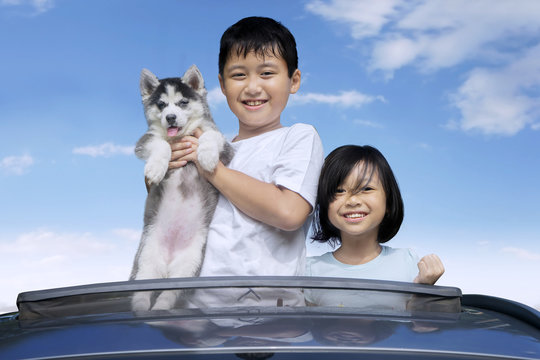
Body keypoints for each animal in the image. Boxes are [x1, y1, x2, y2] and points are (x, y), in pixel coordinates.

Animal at [131, 65, 234, 312]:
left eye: (183, 102)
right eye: (161, 105)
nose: (170, 117)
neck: (182, 135)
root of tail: (168, 266)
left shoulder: (226, 149)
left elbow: (210, 135)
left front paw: (206, 155)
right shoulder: (144, 141)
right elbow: (160, 144)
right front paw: (155, 169)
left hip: (190, 264)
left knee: (168, 296)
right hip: (145, 261)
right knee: (142, 292)